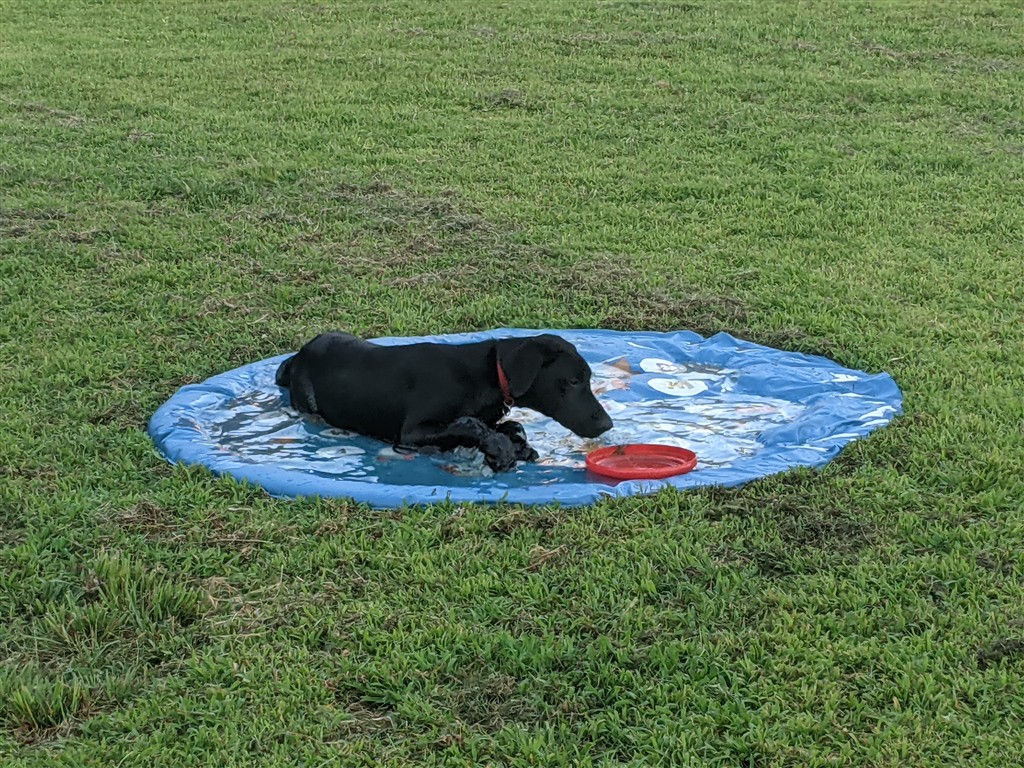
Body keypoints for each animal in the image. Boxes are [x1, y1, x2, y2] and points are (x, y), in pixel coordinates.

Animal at [275, 332, 614, 472]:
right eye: (574, 381)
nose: (607, 424)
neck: (489, 374)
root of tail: (296, 357)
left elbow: (508, 424)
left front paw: (516, 443)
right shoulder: (411, 434)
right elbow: (470, 424)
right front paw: (501, 449)